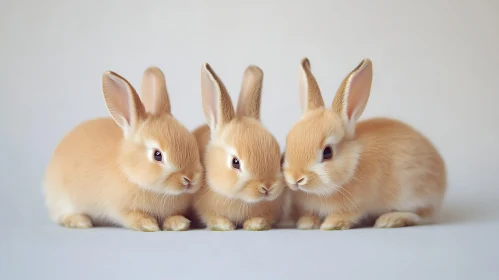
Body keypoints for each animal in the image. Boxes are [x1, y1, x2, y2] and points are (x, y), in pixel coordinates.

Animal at [44, 66, 204, 231]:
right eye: (157, 155)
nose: (190, 178)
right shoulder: (120, 210)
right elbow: (134, 216)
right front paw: (148, 225)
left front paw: (178, 223)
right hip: (63, 201)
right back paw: (81, 221)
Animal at [190, 64, 288, 232]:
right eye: (235, 162)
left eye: (277, 156)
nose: (267, 186)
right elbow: (212, 218)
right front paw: (224, 225)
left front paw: (256, 224)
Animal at [282, 58, 450, 230]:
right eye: (287, 144)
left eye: (327, 152)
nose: (296, 178)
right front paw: (306, 223)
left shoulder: (355, 206)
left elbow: (345, 215)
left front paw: (331, 225)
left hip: (413, 192)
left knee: (422, 216)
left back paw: (390, 219)